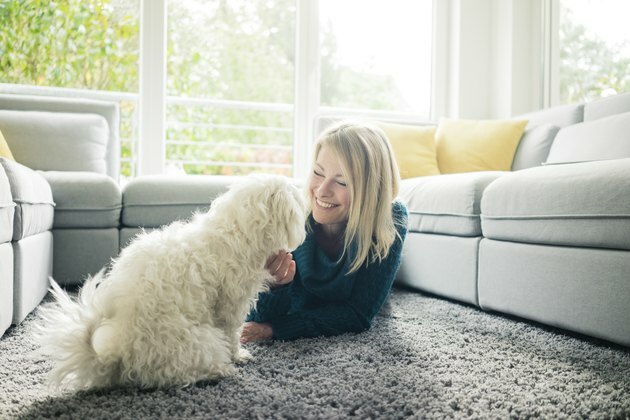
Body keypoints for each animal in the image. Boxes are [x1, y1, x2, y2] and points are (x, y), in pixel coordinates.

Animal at [37, 174, 308, 390]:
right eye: (295, 194)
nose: (306, 196)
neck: (236, 231)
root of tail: (120, 355)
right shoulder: (230, 305)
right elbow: (232, 333)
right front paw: (238, 355)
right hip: (200, 342)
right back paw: (220, 370)